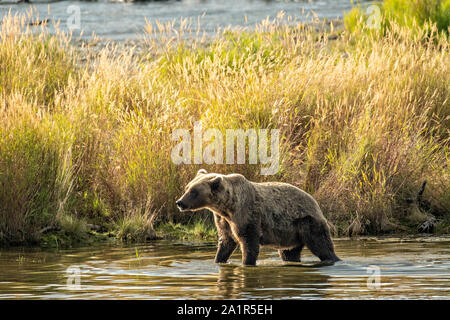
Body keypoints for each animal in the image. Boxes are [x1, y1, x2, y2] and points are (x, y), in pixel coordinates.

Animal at [176, 170, 342, 264]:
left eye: (193, 191)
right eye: (187, 187)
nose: (180, 202)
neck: (227, 207)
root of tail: (315, 203)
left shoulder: (247, 216)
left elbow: (249, 242)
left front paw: (246, 262)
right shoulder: (223, 220)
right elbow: (226, 242)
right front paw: (218, 260)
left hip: (306, 222)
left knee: (321, 245)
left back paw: (332, 259)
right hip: (289, 234)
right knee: (289, 252)